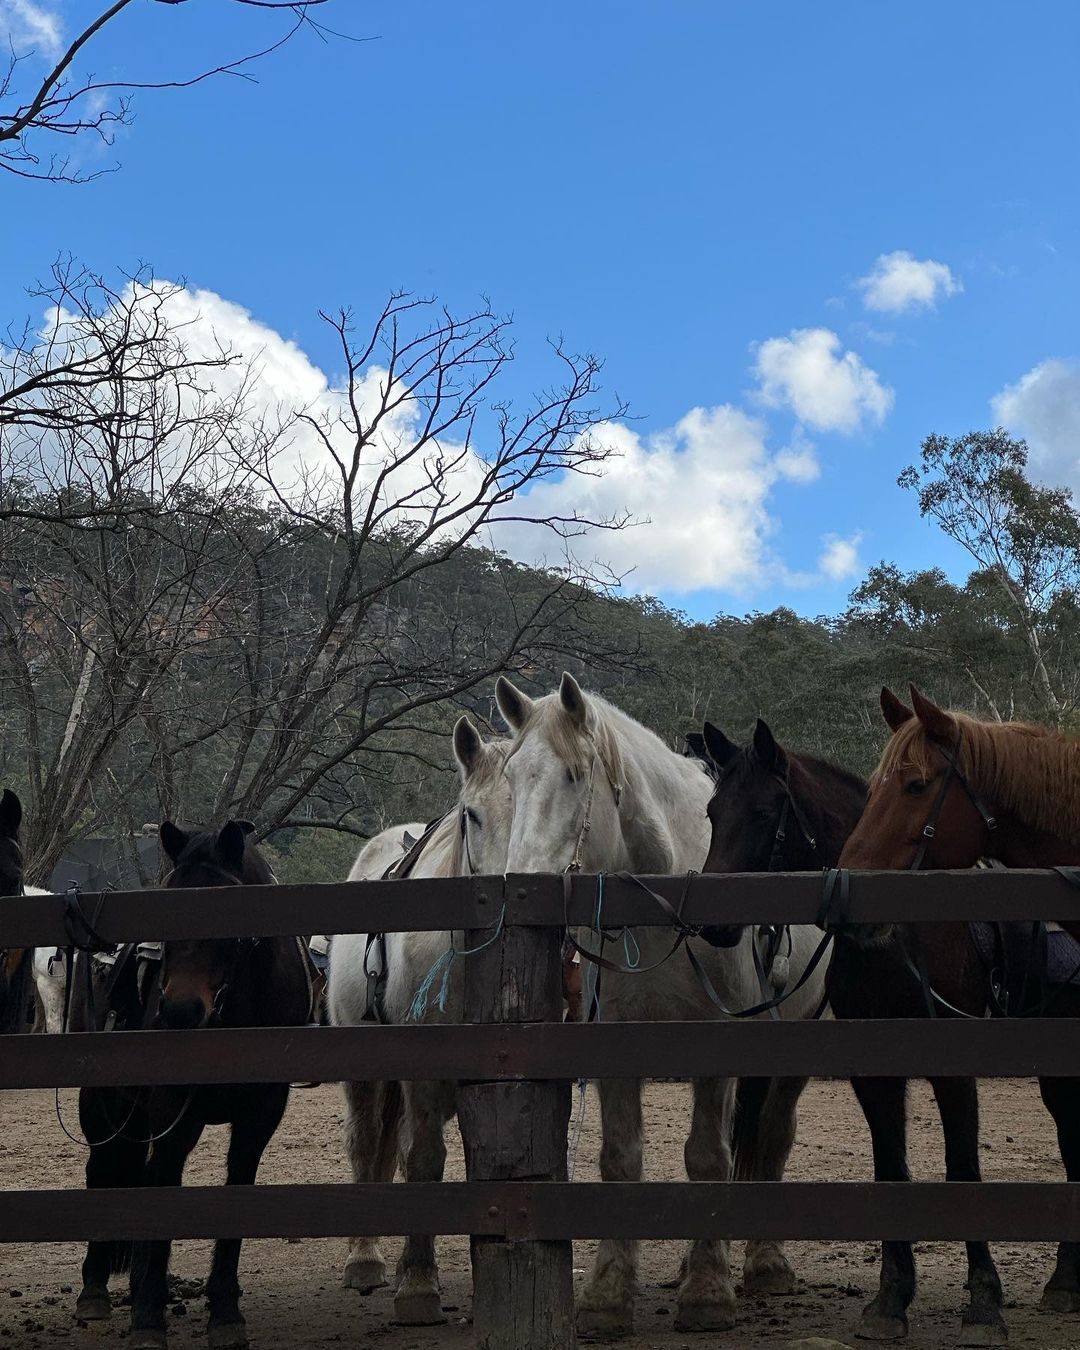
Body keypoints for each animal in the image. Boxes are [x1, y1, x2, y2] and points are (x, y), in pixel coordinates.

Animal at [72, 818, 313, 1350]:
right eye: (170, 902)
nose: (179, 1011)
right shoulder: (173, 1117)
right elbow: (163, 1196)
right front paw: (148, 1319)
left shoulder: (257, 1120)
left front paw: (224, 1312)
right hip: (104, 1114)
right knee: (104, 1173)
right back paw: (95, 1291)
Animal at [328, 716, 514, 1325]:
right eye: (471, 814)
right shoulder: (423, 1076)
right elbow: (424, 1161)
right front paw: (417, 1286)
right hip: (366, 1072)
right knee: (367, 1143)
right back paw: (364, 1259)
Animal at [494, 673, 831, 1339]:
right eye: (513, 777)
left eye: (575, 774)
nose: (523, 884)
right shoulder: (614, 1051)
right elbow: (620, 1160)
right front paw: (606, 1296)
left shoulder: (717, 1053)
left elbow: (708, 1157)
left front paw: (708, 1293)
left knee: (771, 1136)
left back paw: (764, 1264)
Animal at [833, 685, 1080, 1343]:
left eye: (916, 784)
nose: (852, 911)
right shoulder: (873, 1068)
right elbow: (891, 1169)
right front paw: (890, 1302)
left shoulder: (953, 1061)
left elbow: (963, 1168)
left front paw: (984, 1304)